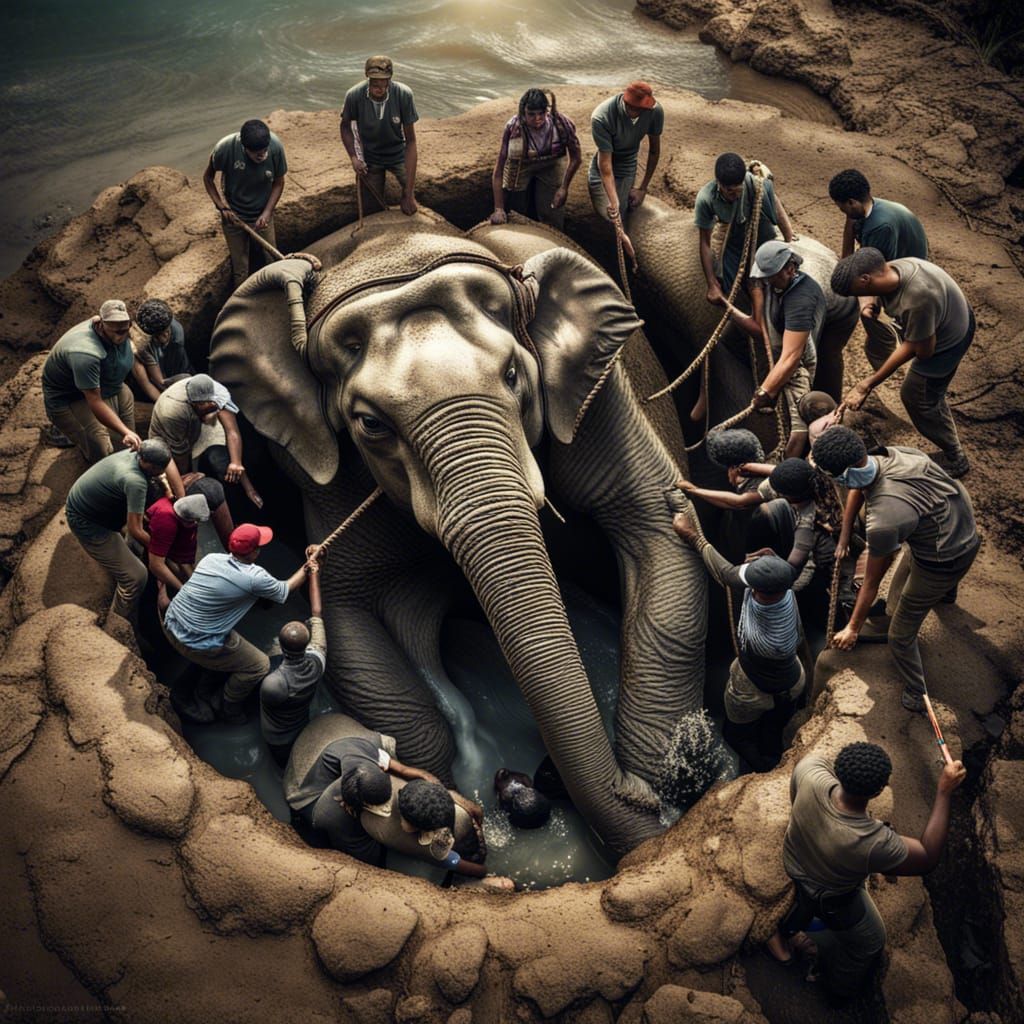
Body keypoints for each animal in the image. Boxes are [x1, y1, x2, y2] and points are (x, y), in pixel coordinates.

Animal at [209, 207, 718, 859]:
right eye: (369, 424)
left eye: (515, 375)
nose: (631, 797)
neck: (392, 249)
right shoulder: (322, 468)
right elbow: (349, 612)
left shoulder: (601, 396)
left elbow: (656, 530)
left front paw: (662, 783)